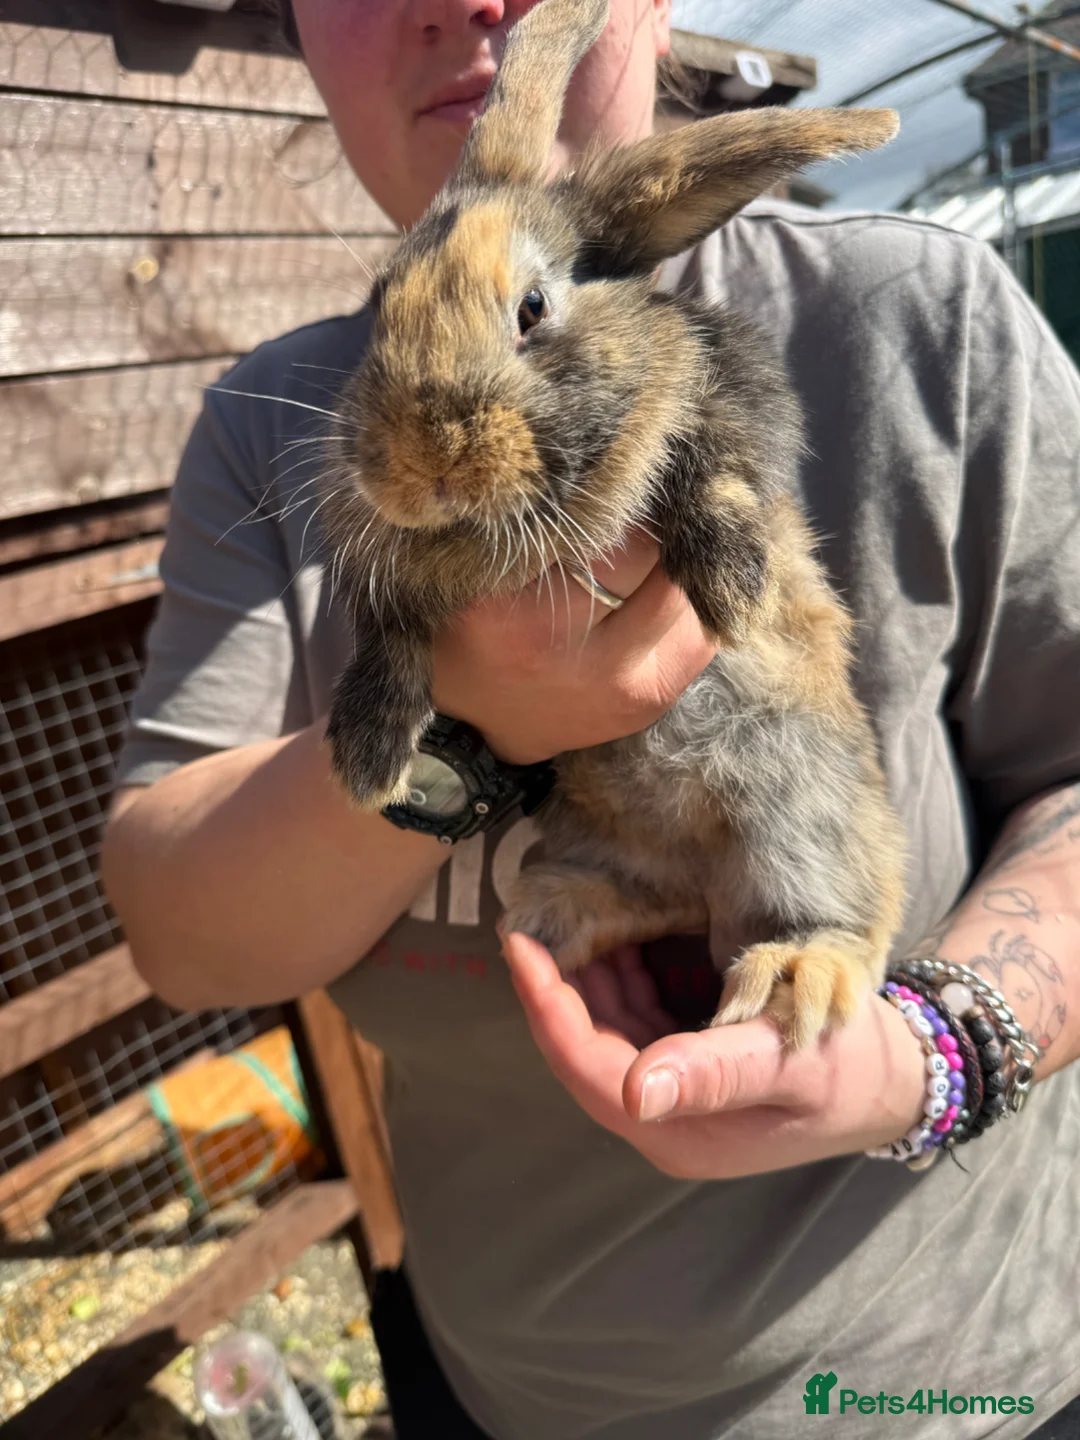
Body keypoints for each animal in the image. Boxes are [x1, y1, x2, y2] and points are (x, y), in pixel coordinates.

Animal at [319, 0, 907, 1047]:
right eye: (378, 308)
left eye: (533, 308)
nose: (420, 468)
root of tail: (695, 871)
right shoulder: (381, 574)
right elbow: (382, 634)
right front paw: (369, 754)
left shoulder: (730, 400)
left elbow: (715, 467)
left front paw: (734, 587)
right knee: (645, 900)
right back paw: (551, 915)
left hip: (806, 809)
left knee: (846, 916)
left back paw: (798, 975)